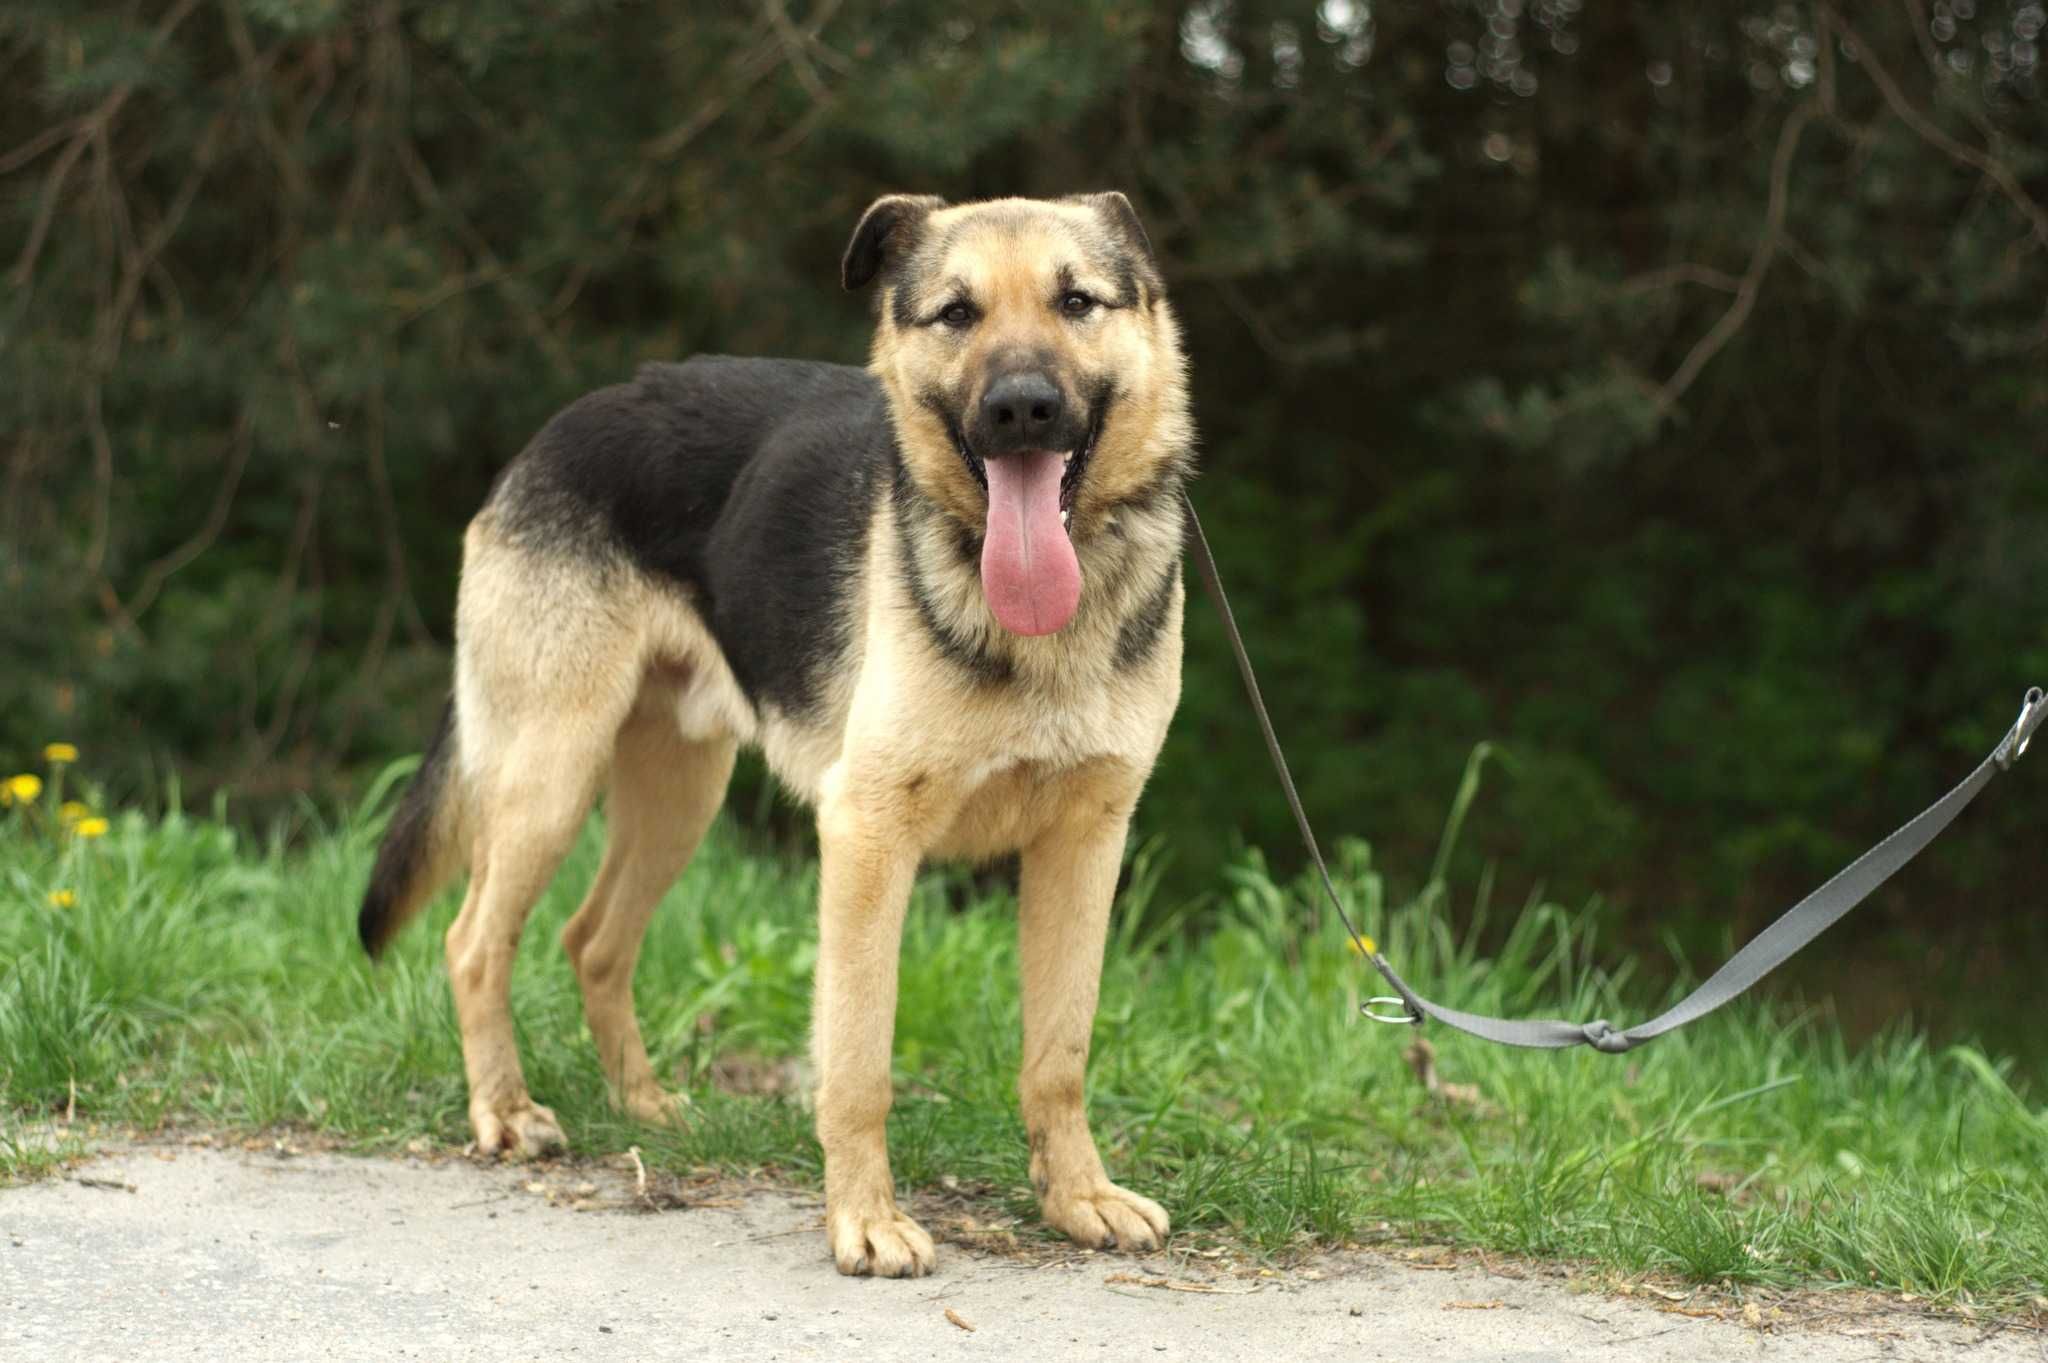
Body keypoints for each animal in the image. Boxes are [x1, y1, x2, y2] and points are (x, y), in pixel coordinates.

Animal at [358, 193, 1196, 1277]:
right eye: (956, 313)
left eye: (1076, 302)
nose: (1021, 408)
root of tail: (559, 425)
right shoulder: (867, 839)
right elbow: (857, 1061)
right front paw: (866, 1219)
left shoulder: (1085, 846)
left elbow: (1058, 1053)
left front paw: (1077, 1198)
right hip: (551, 773)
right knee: (473, 941)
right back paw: (504, 1110)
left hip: (679, 797)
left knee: (592, 939)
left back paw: (645, 1103)